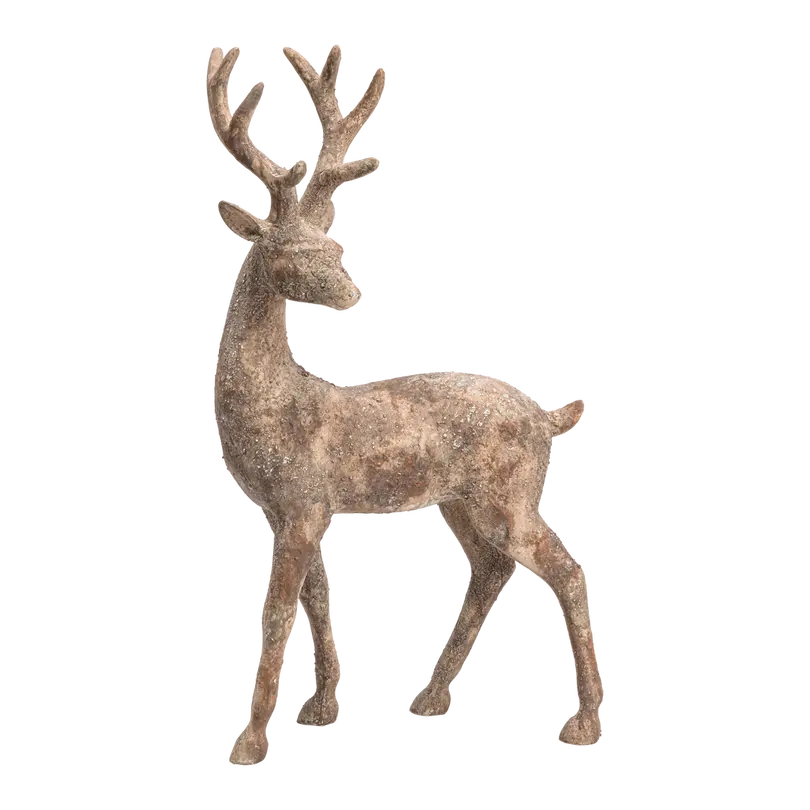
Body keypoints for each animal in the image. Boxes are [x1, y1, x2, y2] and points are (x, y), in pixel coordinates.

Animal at [208, 42, 605, 768]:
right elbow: (317, 605)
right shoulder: (292, 508)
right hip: (461, 501)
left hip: (509, 490)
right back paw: (427, 700)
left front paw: (249, 743)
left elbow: (276, 617)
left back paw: (581, 727)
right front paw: (320, 712)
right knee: (492, 569)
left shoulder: (301, 502)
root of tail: (546, 417)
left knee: (565, 567)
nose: (351, 291)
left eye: (333, 243)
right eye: (295, 249)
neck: (275, 403)